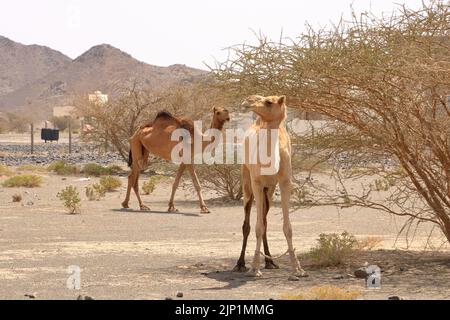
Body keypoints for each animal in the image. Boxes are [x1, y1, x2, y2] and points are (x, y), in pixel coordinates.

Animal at [234, 95, 308, 278]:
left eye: (268, 102)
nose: (247, 101)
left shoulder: (284, 182)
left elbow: (287, 227)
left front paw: (297, 268)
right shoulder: (257, 183)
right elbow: (257, 227)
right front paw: (254, 267)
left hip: (269, 190)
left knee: (265, 220)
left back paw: (270, 261)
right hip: (247, 182)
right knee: (247, 223)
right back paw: (240, 264)